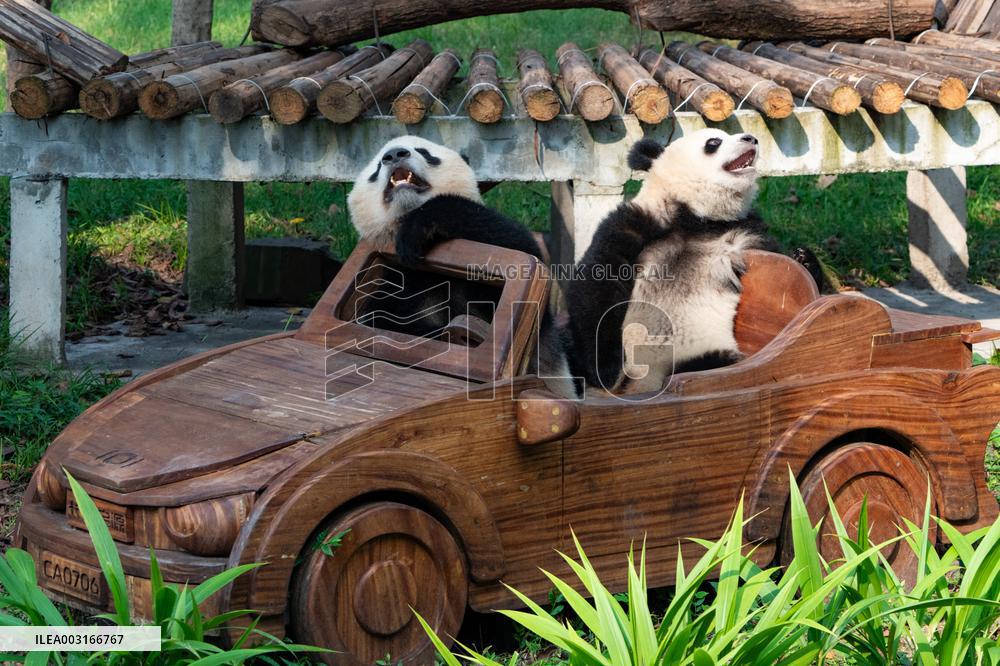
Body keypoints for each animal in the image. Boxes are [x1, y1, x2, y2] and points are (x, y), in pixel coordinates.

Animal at [346, 135, 545, 339]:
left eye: (425, 152)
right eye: (377, 167)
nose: (394, 154)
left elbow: (517, 245)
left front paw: (414, 233)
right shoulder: (391, 281)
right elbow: (386, 321)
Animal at [560, 128, 815, 396]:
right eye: (714, 142)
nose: (751, 138)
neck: (697, 216)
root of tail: (645, 385)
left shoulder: (748, 231)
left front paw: (804, 259)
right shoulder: (638, 221)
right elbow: (597, 281)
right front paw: (607, 372)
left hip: (703, 355)